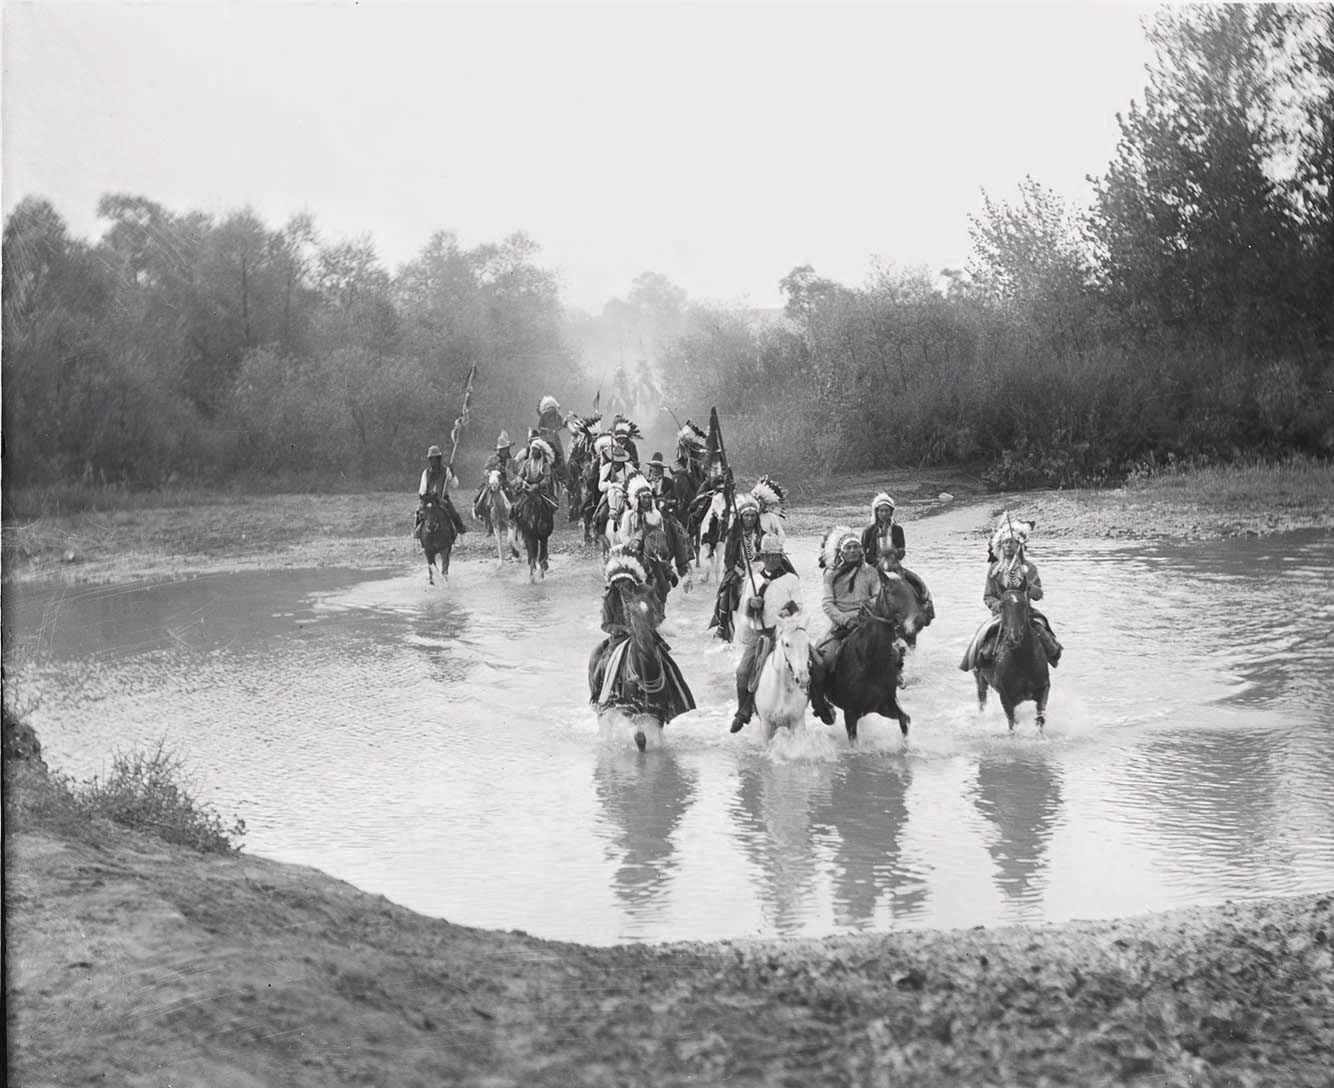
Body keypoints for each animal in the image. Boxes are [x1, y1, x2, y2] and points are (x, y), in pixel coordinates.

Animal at [592, 581, 699, 752]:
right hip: (604, 707)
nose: (645, 640)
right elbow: (640, 739)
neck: (645, 670)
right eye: (632, 612)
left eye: (653, 609)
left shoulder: (658, 712)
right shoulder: (631, 711)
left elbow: (657, 738)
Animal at [971, 586, 1051, 730]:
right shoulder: (1005, 697)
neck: (1023, 662)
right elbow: (1012, 724)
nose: (1013, 638)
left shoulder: (1044, 689)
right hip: (980, 681)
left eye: (1024, 605)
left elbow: (1040, 719)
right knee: (982, 701)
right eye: (1002, 606)